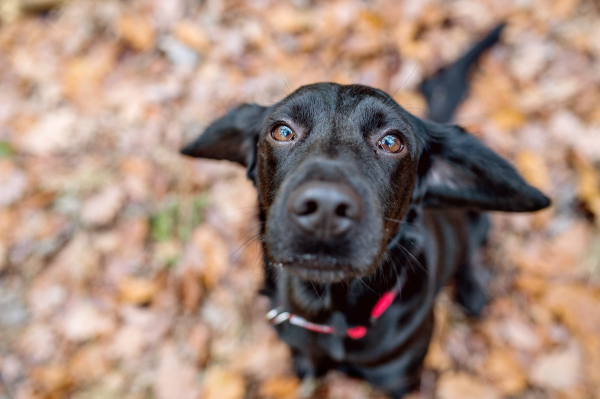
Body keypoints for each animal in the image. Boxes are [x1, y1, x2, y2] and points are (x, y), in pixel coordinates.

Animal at [180, 26, 552, 398]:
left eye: (391, 141)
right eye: (282, 131)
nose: (326, 209)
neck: (331, 314)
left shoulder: (400, 381)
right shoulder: (305, 362)